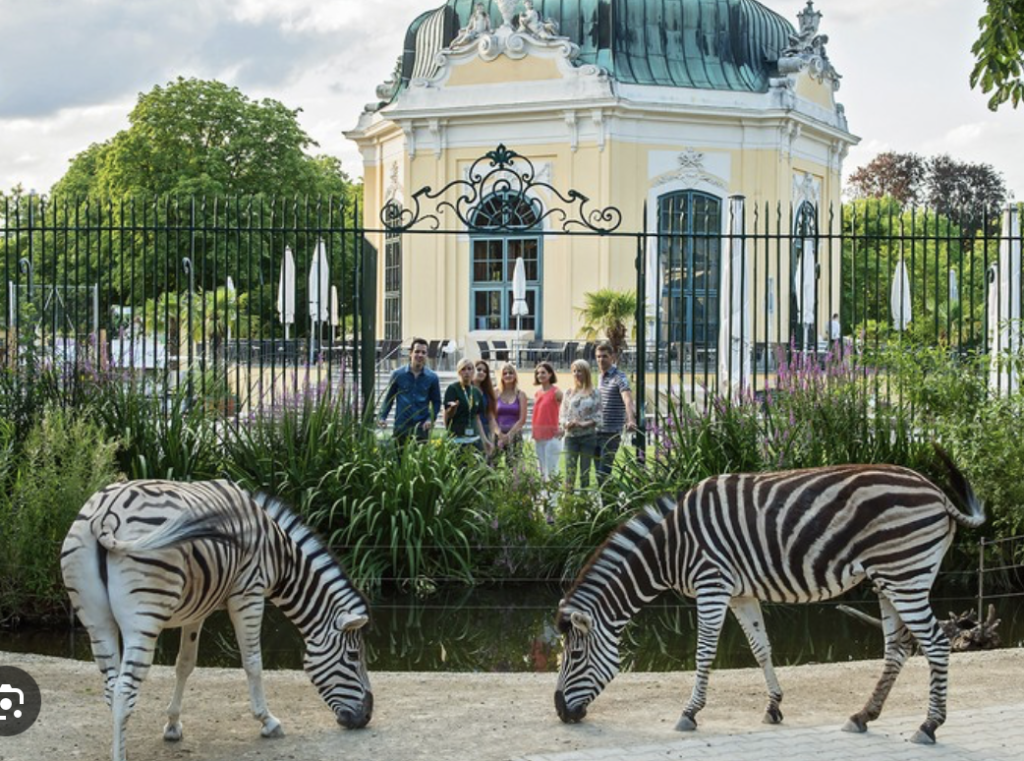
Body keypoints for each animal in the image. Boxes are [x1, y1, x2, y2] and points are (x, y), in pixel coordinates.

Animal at [59, 481, 374, 761]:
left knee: (112, 688)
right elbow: (253, 662)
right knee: (124, 691)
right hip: (144, 620)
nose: (366, 716)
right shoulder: (249, 594)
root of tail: (106, 513)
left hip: (97, 621)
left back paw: (121, 744)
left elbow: (184, 664)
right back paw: (120, 756)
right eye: (353, 656)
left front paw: (172, 725)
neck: (280, 556)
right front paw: (268, 721)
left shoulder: (196, 609)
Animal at [557, 448, 987, 745]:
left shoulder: (712, 585)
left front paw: (690, 713)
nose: (560, 711)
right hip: (891, 579)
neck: (672, 547)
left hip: (904, 576)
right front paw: (774, 706)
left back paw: (928, 725)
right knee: (898, 649)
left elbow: (704, 652)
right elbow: (760, 647)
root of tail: (936, 493)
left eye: (574, 655)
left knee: (935, 644)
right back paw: (863, 716)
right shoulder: (740, 594)